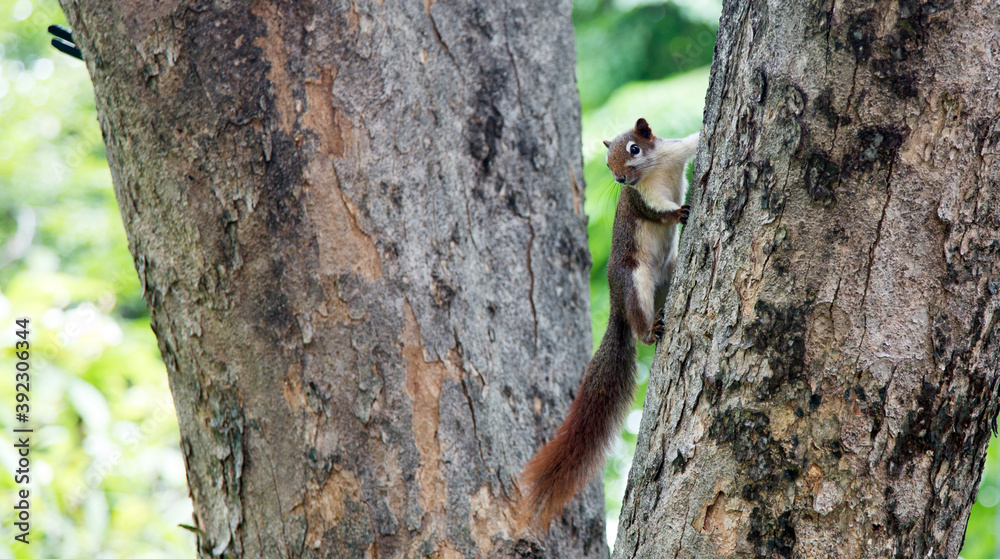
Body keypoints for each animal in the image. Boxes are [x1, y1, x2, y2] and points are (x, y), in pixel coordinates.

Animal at [517, 118, 699, 529]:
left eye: (633, 148)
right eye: (606, 161)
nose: (619, 179)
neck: (654, 168)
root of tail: (617, 303)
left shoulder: (676, 151)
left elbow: (693, 142)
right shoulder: (640, 199)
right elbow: (656, 212)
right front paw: (678, 213)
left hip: (664, 274)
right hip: (635, 281)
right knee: (638, 323)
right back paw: (649, 331)